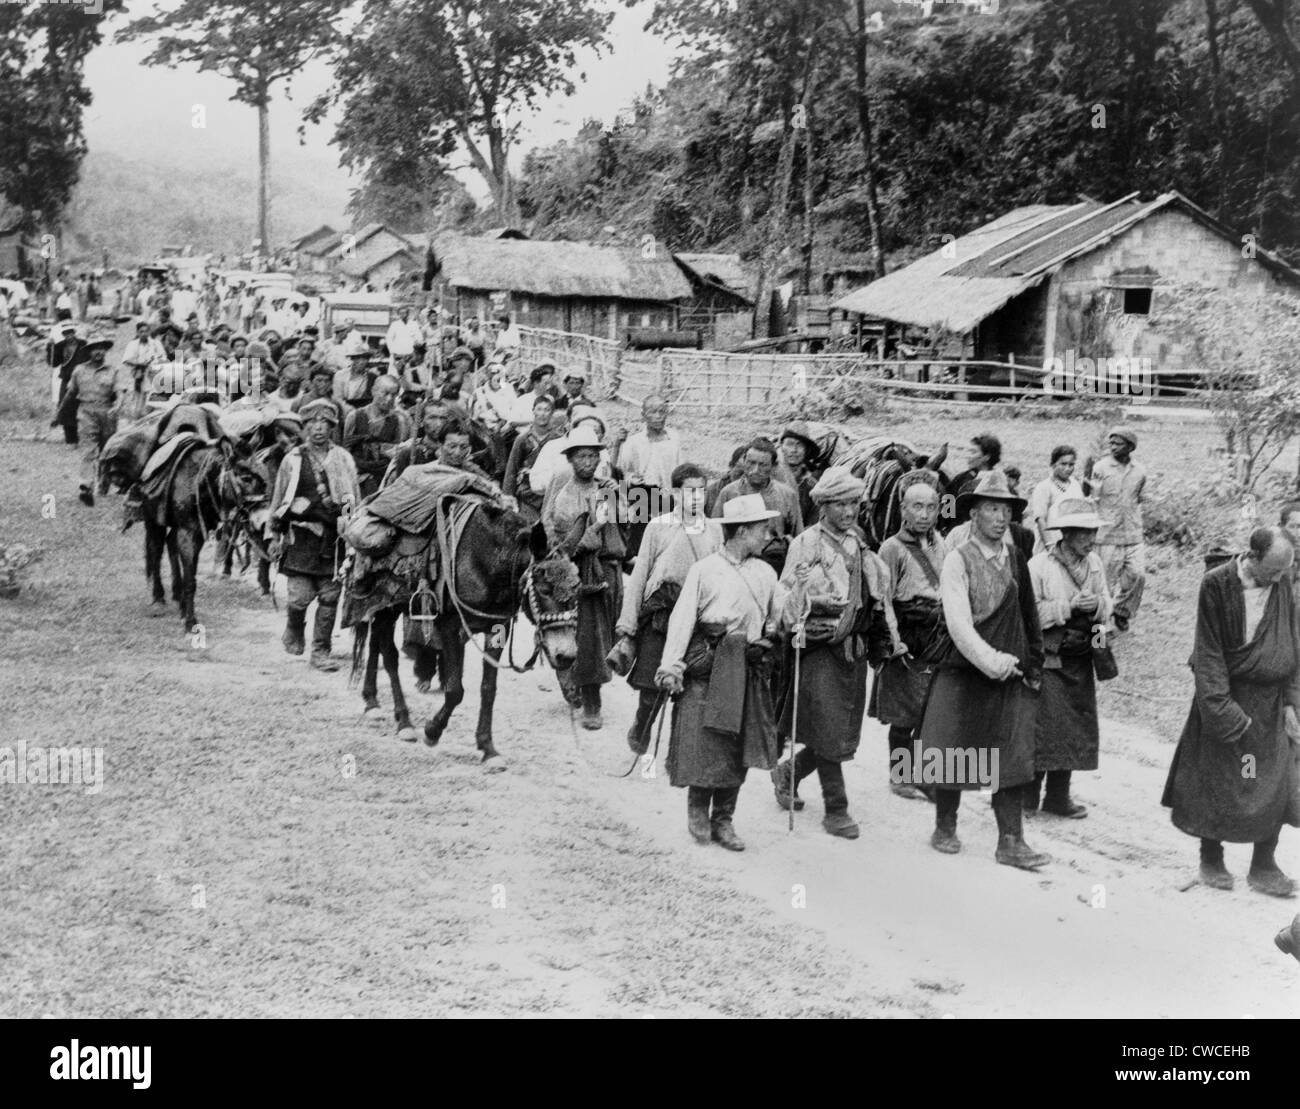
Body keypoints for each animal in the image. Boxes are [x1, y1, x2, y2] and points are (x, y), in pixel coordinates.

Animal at [143, 442, 270, 631]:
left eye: (264, 474)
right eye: (246, 478)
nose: (264, 520)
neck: (198, 483)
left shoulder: (196, 534)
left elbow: (190, 576)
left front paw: (186, 612)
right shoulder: (187, 533)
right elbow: (190, 580)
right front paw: (190, 622)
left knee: (170, 544)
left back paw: (178, 597)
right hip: (154, 521)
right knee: (156, 550)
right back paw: (158, 599)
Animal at [351, 496, 585, 764]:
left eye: (577, 587)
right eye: (544, 589)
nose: (566, 656)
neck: (486, 560)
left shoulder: (497, 629)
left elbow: (488, 689)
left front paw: (488, 747)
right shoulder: (451, 626)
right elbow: (455, 690)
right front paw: (432, 731)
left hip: (385, 605)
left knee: (375, 644)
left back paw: (371, 702)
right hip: (387, 603)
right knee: (389, 655)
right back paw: (404, 722)